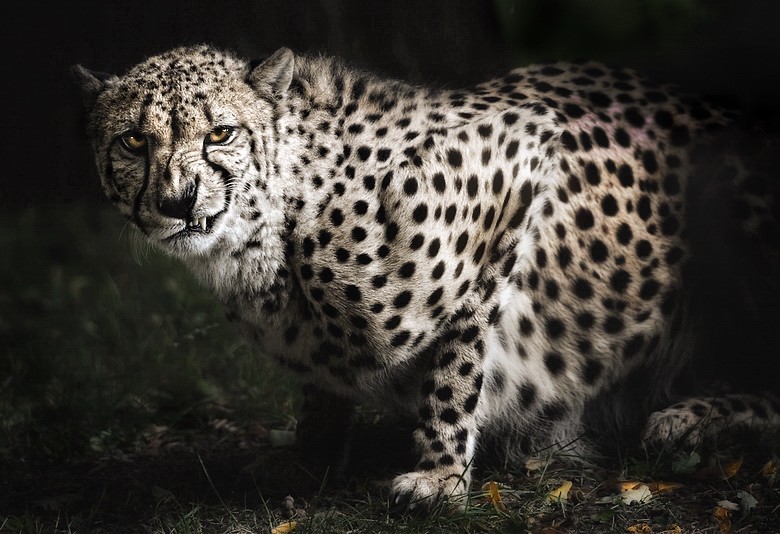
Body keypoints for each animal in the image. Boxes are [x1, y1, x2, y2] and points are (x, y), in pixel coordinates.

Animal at [73, 45, 780, 510]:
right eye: (133, 141)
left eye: (221, 133)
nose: (177, 203)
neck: (278, 225)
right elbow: (324, 389)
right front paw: (311, 454)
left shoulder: (521, 157)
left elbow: (458, 356)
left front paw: (441, 475)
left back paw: (690, 418)